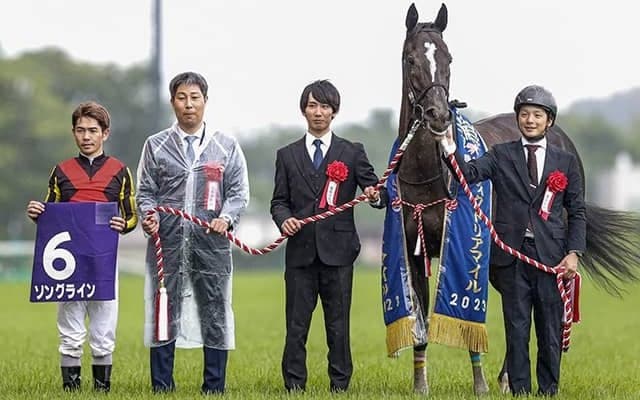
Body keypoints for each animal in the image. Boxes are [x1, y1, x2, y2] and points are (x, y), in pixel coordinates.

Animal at [396, 2, 640, 395]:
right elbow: (421, 322)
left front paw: (481, 386)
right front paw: (421, 386)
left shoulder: (468, 247)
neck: (429, 177)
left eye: (449, 57)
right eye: (410, 58)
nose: (438, 115)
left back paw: (513, 378)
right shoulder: (413, 250)